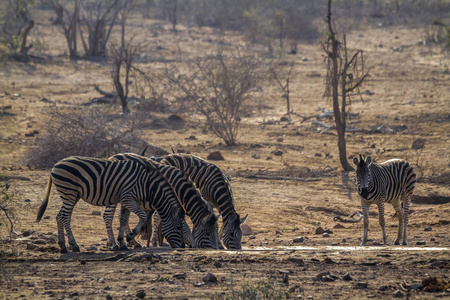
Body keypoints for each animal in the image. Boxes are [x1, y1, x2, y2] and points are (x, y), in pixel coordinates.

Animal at [35, 157, 186, 253]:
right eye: (178, 227)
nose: (183, 247)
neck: (147, 185)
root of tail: (56, 165)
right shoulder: (128, 198)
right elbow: (142, 216)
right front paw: (130, 235)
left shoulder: (126, 200)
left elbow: (123, 220)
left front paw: (122, 242)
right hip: (69, 192)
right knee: (64, 217)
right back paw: (74, 245)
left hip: (72, 195)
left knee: (59, 216)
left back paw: (63, 246)